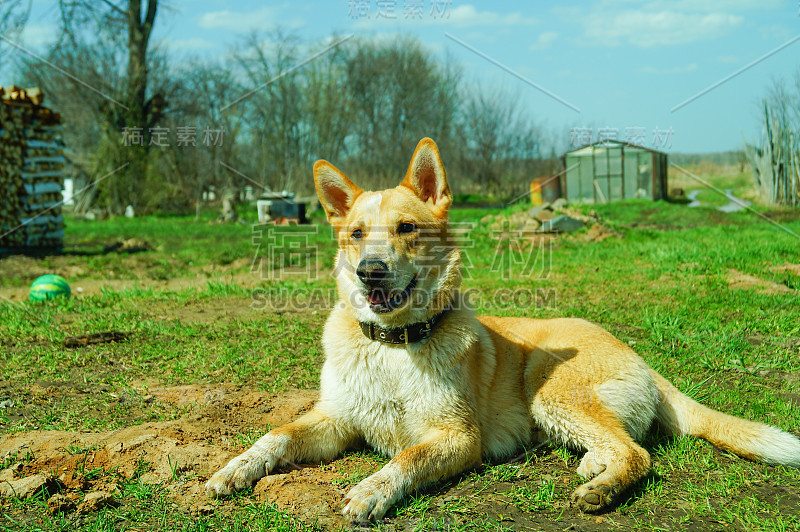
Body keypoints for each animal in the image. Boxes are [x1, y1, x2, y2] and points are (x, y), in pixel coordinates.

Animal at [206, 138, 800, 524]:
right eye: (355, 233)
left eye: (406, 228)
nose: (370, 271)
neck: (396, 345)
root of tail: (641, 359)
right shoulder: (335, 420)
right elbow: (275, 435)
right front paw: (233, 470)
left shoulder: (456, 437)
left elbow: (403, 458)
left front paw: (370, 492)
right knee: (623, 440)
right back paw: (592, 465)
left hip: (547, 384)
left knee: (639, 454)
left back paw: (603, 488)